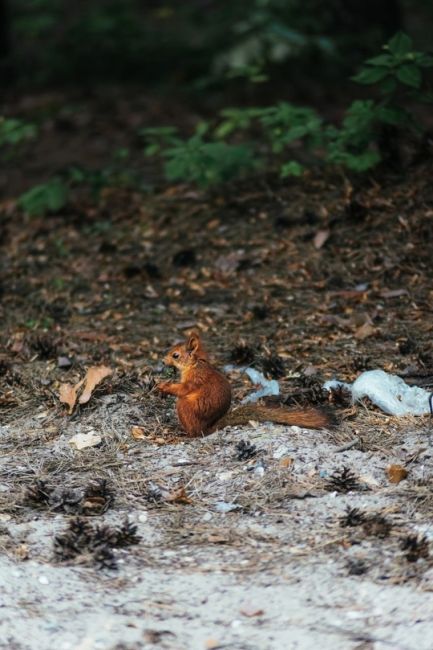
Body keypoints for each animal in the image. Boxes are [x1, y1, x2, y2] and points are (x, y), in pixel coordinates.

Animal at [157, 334, 332, 436]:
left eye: (175, 355)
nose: (163, 362)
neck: (195, 364)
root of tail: (206, 429)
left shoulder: (195, 379)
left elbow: (183, 389)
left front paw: (163, 386)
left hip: (184, 407)